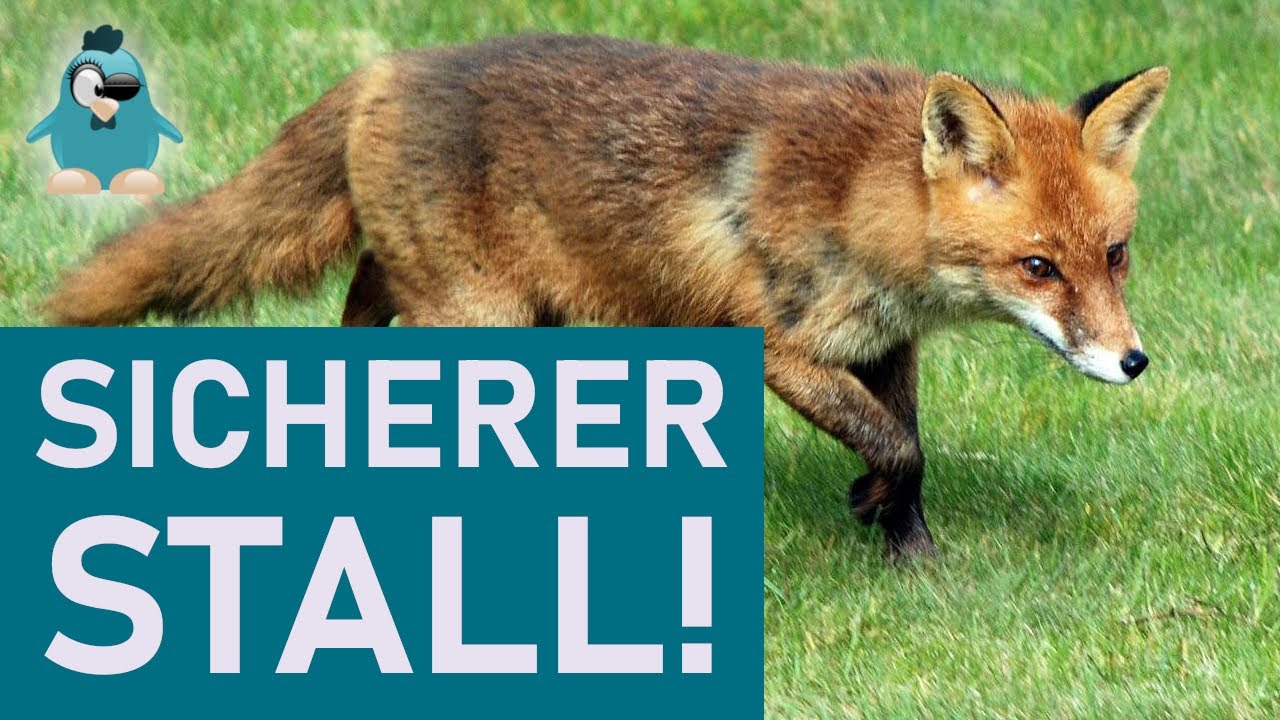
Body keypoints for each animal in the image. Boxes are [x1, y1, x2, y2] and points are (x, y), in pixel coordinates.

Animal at [45, 35, 1169, 560]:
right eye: (1038, 268)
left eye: (1113, 255)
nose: (1133, 363)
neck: (861, 200)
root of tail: (386, 67)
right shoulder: (775, 345)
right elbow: (896, 445)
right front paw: (873, 508)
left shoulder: (886, 346)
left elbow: (909, 448)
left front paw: (909, 554)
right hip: (479, 321)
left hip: (464, 302)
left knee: (355, 323)